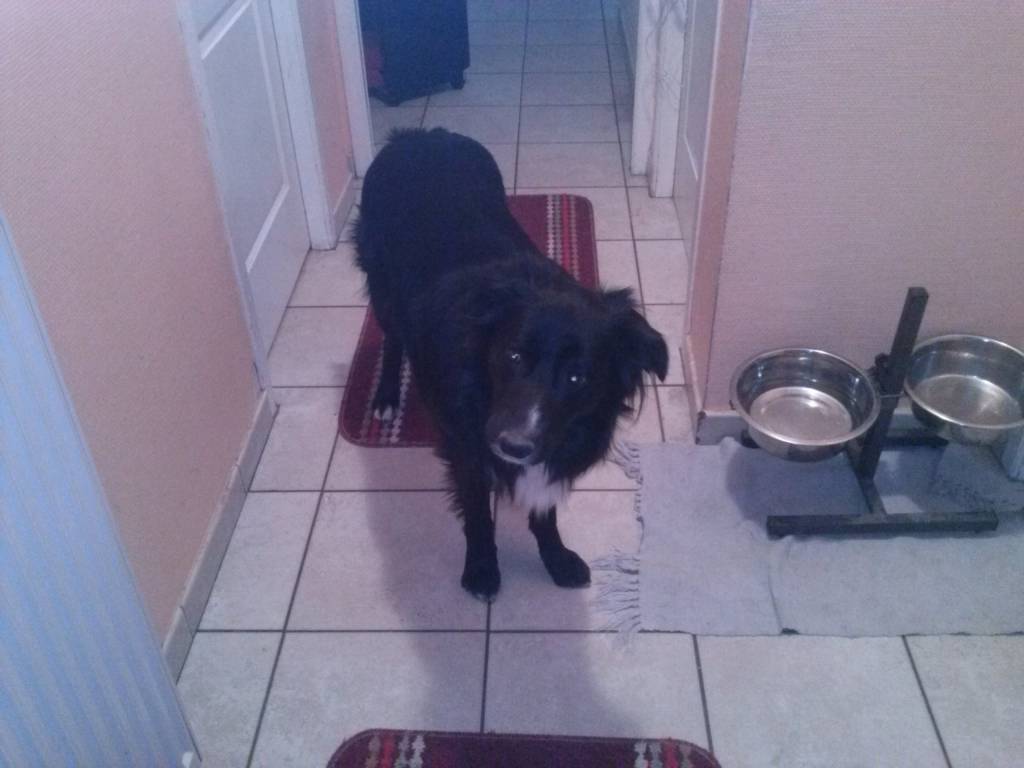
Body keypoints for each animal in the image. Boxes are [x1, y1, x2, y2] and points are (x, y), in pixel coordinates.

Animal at [354, 128, 668, 600]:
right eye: (514, 355)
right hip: (384, 284)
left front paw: (556, 559)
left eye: (577, 377)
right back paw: (387, 396)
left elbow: (544, 512)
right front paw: (482, 570)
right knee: (391, 335)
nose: (513, 445)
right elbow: (478, 516)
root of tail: (421, 135)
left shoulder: (546, 448)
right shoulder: (467, 447)